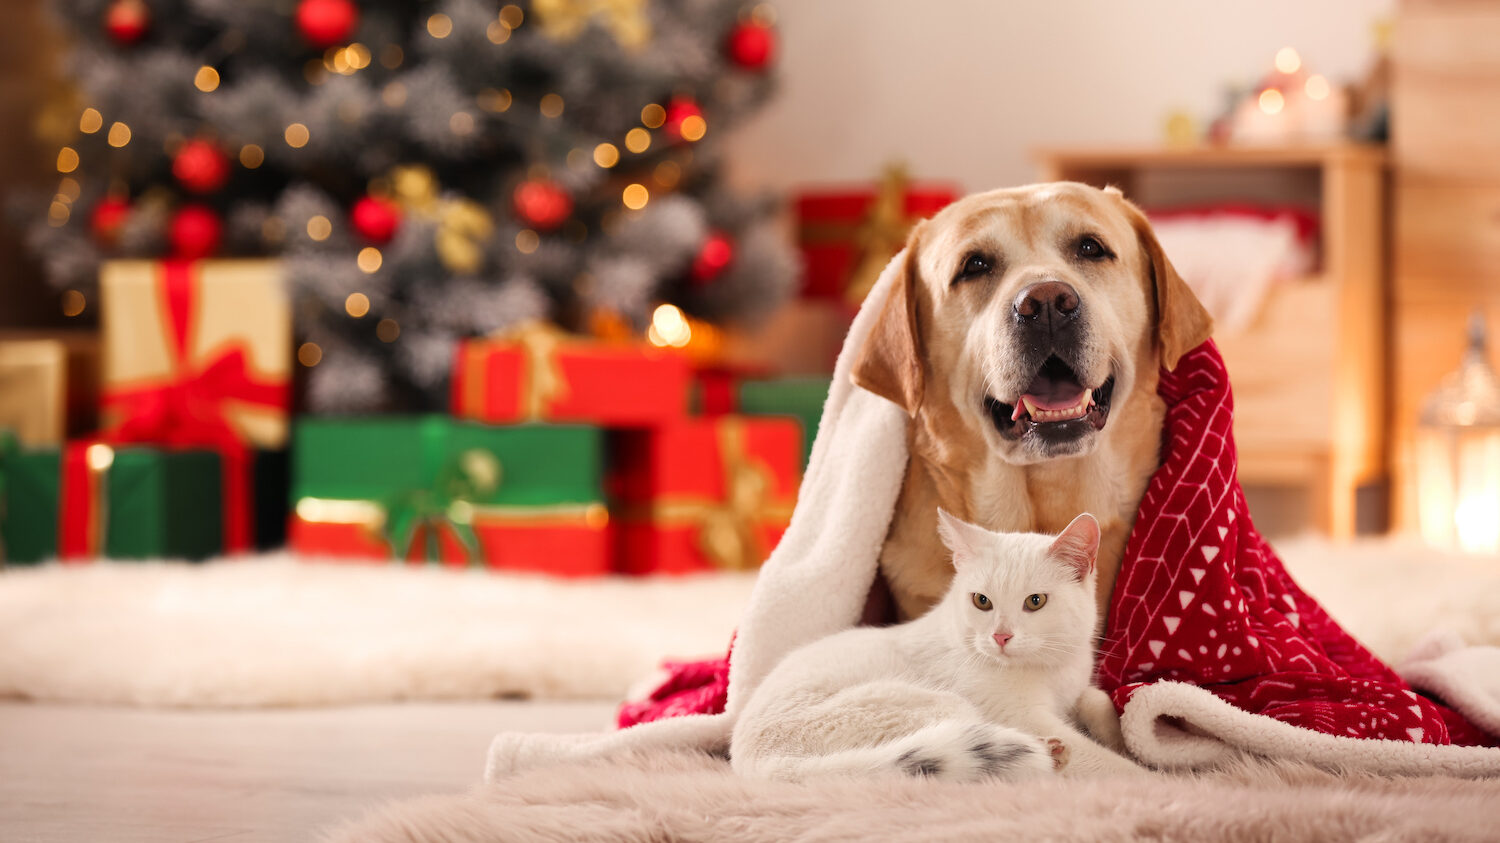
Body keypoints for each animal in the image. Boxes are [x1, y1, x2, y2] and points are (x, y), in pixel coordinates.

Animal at [732, 513, 1140, 780]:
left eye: (1035, 602)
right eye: (981, 601)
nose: (1000, 636)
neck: (1048, 667)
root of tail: (760, 768)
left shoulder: (1075, 688)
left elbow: (1095, 699)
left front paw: (1117, 735)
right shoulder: (1018, 714)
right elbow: (1111, 766)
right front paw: (1147, 779)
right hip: (933, 705)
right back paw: (1050, 754)